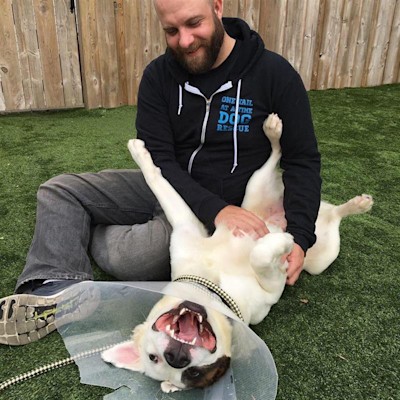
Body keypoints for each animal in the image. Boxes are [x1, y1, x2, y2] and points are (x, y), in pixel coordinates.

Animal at [101, 114, 374, 392]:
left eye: (154, 356)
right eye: (193, 374)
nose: (176, 357)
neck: (210, 284)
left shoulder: (186, 226)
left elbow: (161, 184)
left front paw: (140, 153)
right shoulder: (272, 287)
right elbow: (262, 257)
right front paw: (283, 243)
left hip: (255, 187)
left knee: (278, 161)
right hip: (320, 258)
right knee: (332, 218)